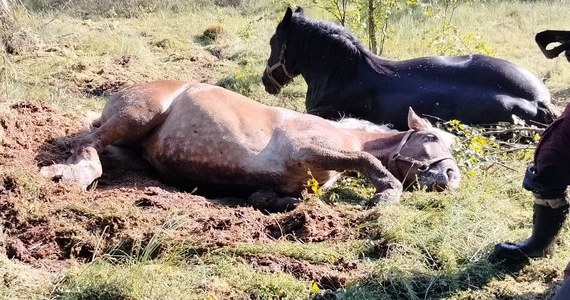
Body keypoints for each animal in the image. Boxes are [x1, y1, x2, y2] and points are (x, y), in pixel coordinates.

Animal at [38, 79, 458, 211]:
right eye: (432, 137)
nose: (452, 176)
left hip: (135, 151)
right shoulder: (310, 149)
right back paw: (68, 176)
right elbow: (367, 161)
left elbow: (273, 196)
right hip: (137, 116)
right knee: (87, 144)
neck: (346, 132)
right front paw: (386, 194)